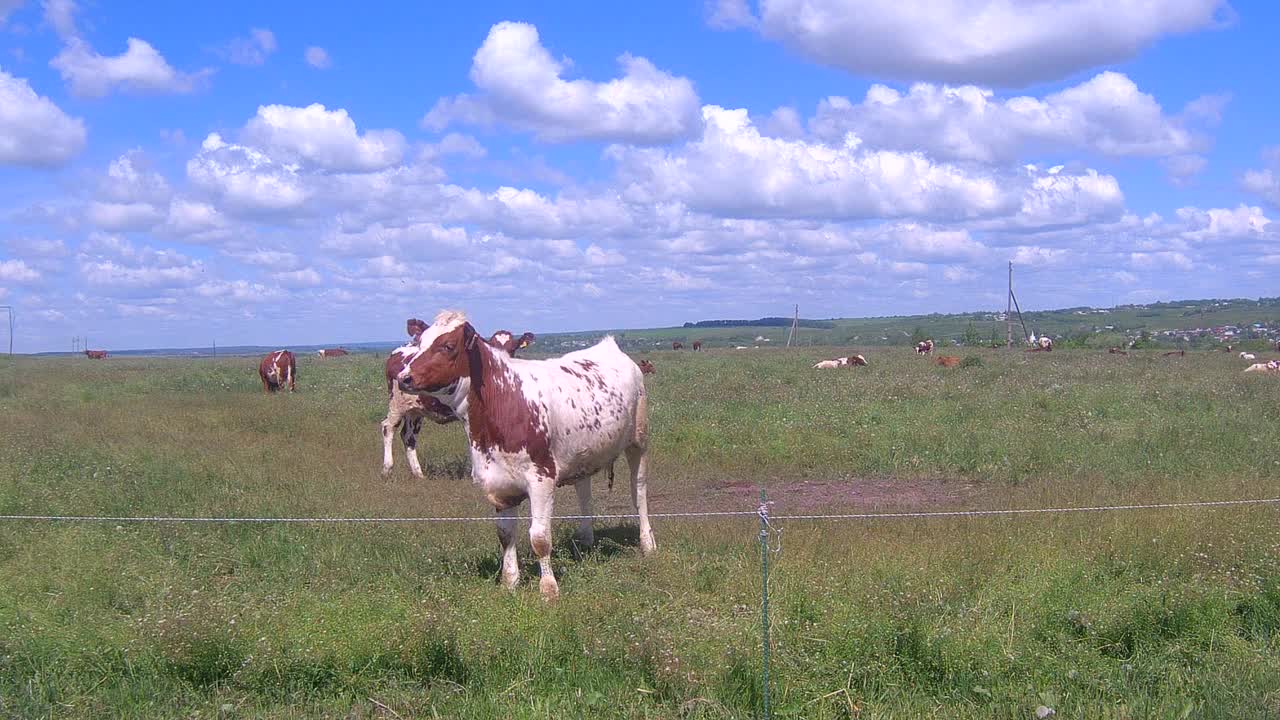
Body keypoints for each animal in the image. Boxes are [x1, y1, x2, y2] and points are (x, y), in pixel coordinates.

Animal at [378, 317, 540, 476]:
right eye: (492, 346)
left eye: (512, 349)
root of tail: (401, 349)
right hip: (396, 403)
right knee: (388, 427)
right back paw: (387, 469)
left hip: (415, 409)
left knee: (408, 436)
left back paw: (418, 474)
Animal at [396, 311, 660, 597]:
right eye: (419, 342)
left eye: (447, 346)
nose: (404, 377)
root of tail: (609, 345)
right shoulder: (498, 483)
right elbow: (505, 534)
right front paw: (509, 581)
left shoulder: (541, 478)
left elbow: (540, 537)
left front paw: (548, 588)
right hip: (584, 452)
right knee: (584, 493)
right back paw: (586, 539)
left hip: (639, 440)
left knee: (639, 492)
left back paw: (647, 543)